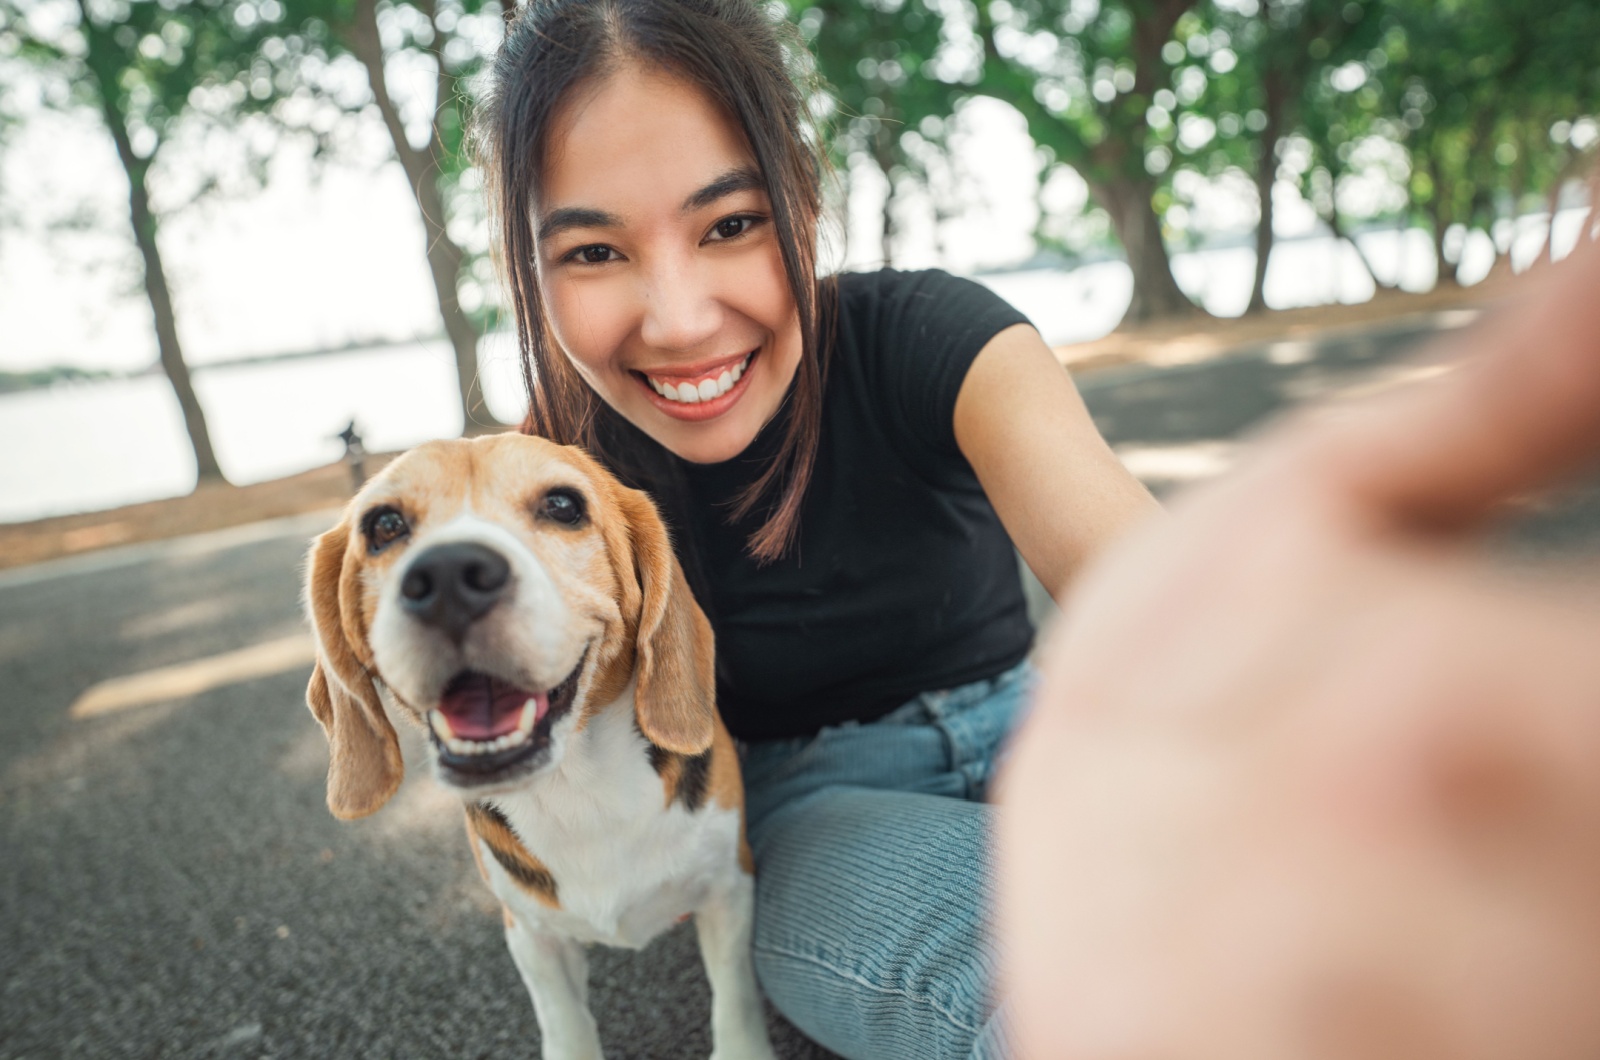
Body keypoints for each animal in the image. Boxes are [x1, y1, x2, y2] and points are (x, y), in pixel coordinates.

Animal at [302, 435, 777, 1060]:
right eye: (383, 525)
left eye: (562, 506)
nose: (448, 576)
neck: (580, 790)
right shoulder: (531, 935)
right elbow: (566, 1024)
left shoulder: (729, 887)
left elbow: (736, 999)